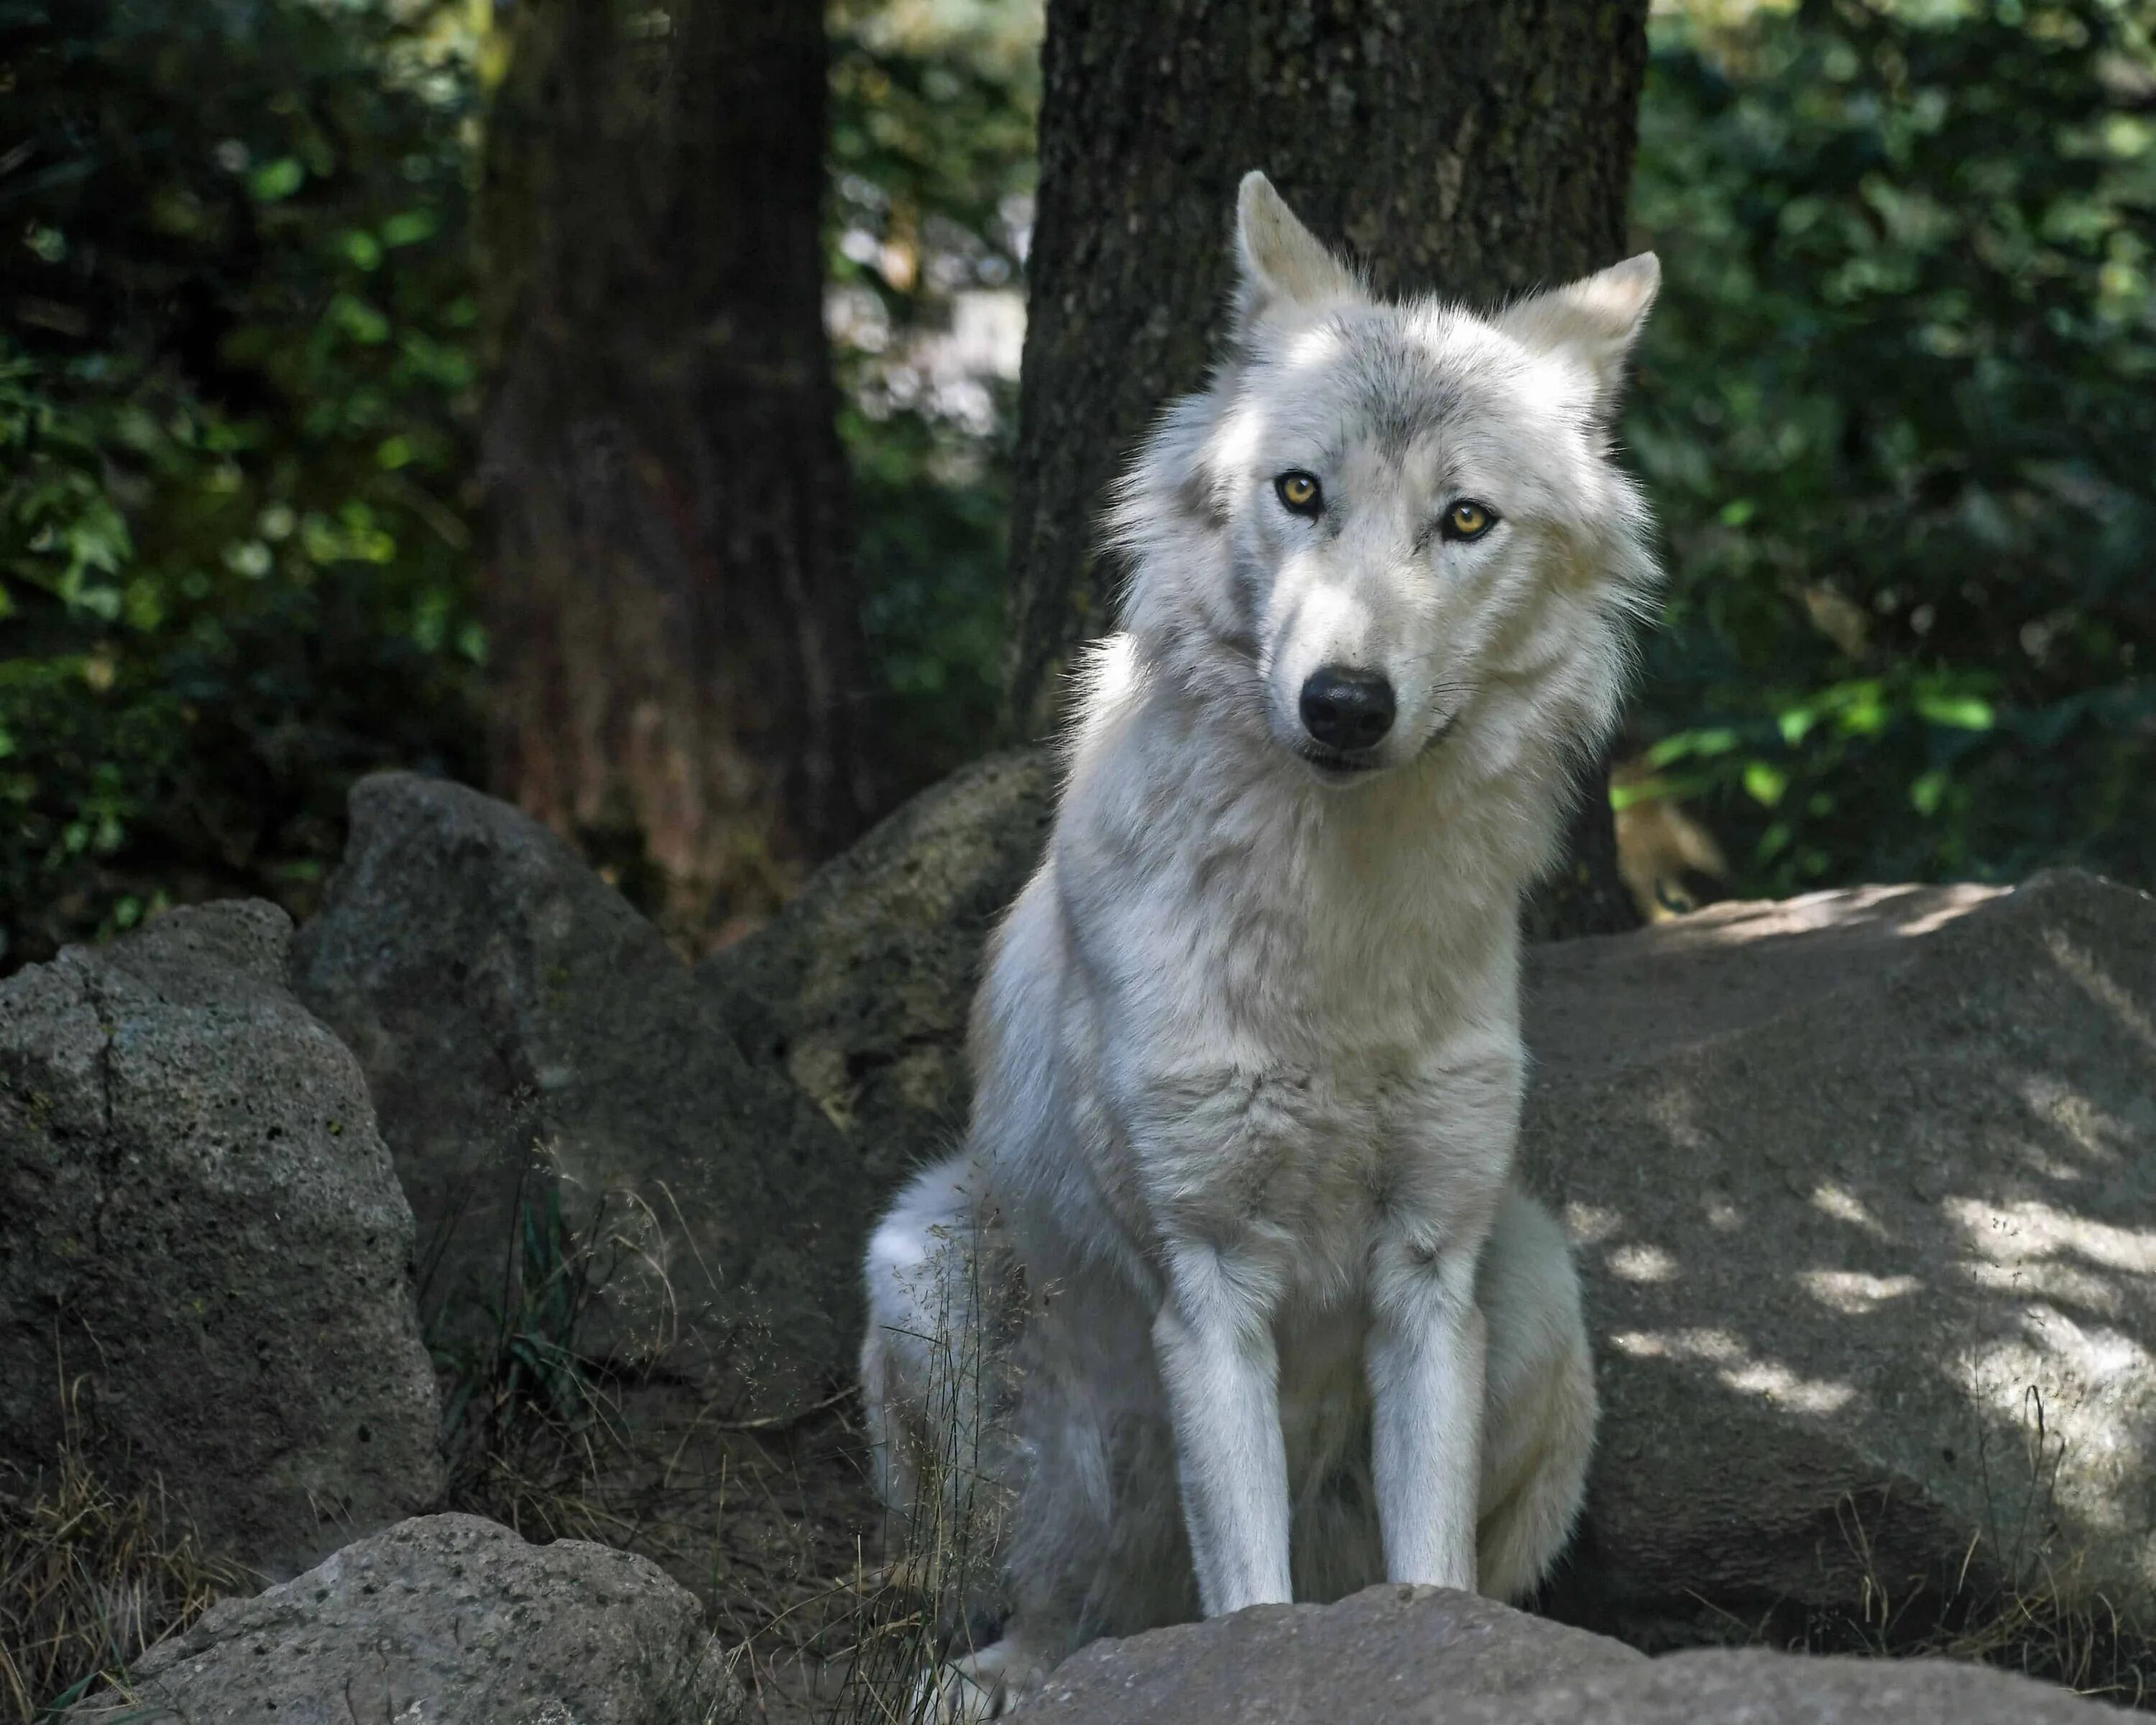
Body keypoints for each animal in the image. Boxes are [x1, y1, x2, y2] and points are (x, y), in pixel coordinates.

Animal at [862, 171, 1664, 1708]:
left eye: (1464, 520)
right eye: (1301, 492)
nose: (1346, 702)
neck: (1332, 943)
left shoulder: (1429, 1278)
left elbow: (1432, 1576)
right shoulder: (1208, 1286)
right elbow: (1248, 1600)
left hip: (1540, 1283)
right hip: (922, 1276)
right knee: (1049, 1598)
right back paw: (1002, 1677)